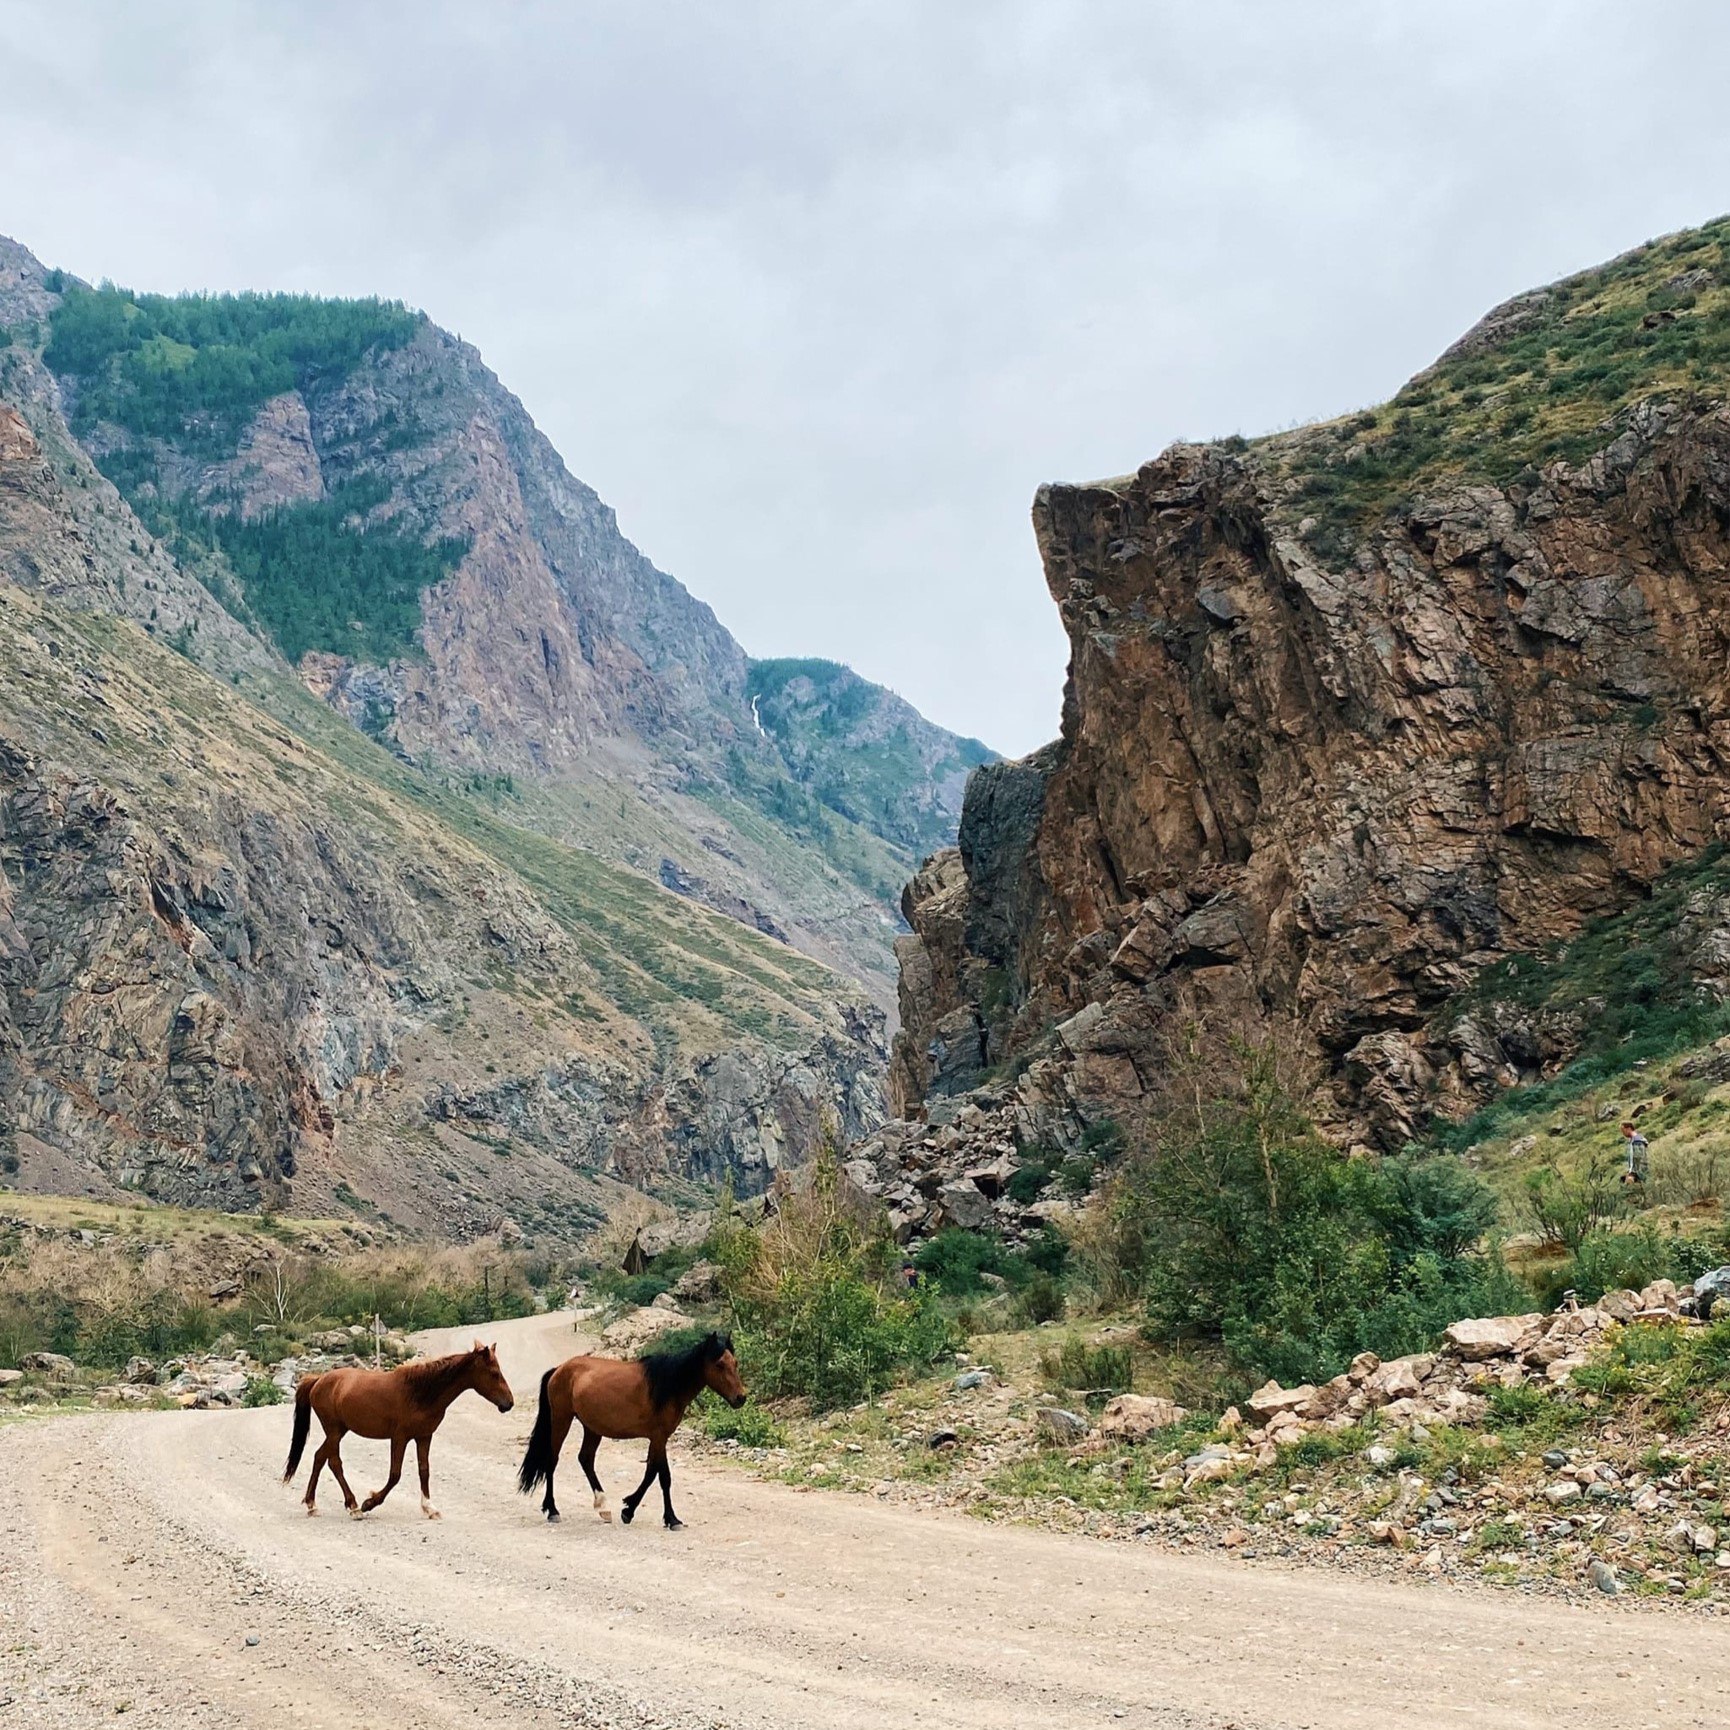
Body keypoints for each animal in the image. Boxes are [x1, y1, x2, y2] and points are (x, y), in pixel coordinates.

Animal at [281, 1335, 512, 1515]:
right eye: (494, 1373)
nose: (509, 1403)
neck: (420, 1392)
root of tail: (318, 1380)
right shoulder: (400, 1438)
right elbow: (395, 1475)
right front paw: (370, 1503)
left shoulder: (424, 1436)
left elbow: (424, 1470)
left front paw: (429, 1507)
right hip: (334, 1431)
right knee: (332, 1461)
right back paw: (353, 1506)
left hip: (339, 1431)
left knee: (321, 1458)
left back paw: (315, 1504)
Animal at [512, 1335, 743, 1529]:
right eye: (720, 1364)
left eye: (735, 1363)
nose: (741, 1398)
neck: (666, 1386)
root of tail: (559, 1369)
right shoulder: (659, 1437)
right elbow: (662, 1476)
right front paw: (671, 1519)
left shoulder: (658, 1439)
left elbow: (651, 1473)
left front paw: (629, 1509)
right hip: (562, 1419)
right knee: (552, 1460)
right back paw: (553, 1510)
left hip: (592, 1428)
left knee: (585, 1459)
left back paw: (603, 1508)